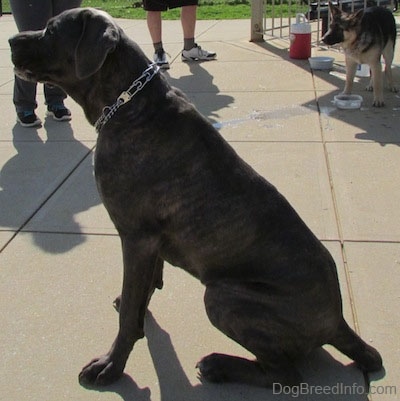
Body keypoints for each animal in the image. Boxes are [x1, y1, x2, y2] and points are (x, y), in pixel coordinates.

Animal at [10, 6, 384, 388]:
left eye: (51, 31)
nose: (11, 39)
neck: (128, 102)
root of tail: (338, 322)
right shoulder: (150, 243)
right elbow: (144, 289)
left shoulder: (136, 237)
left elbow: (128, 313)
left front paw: (111, 365)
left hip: (222, 296)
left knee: (285, 374)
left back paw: (219, 365)